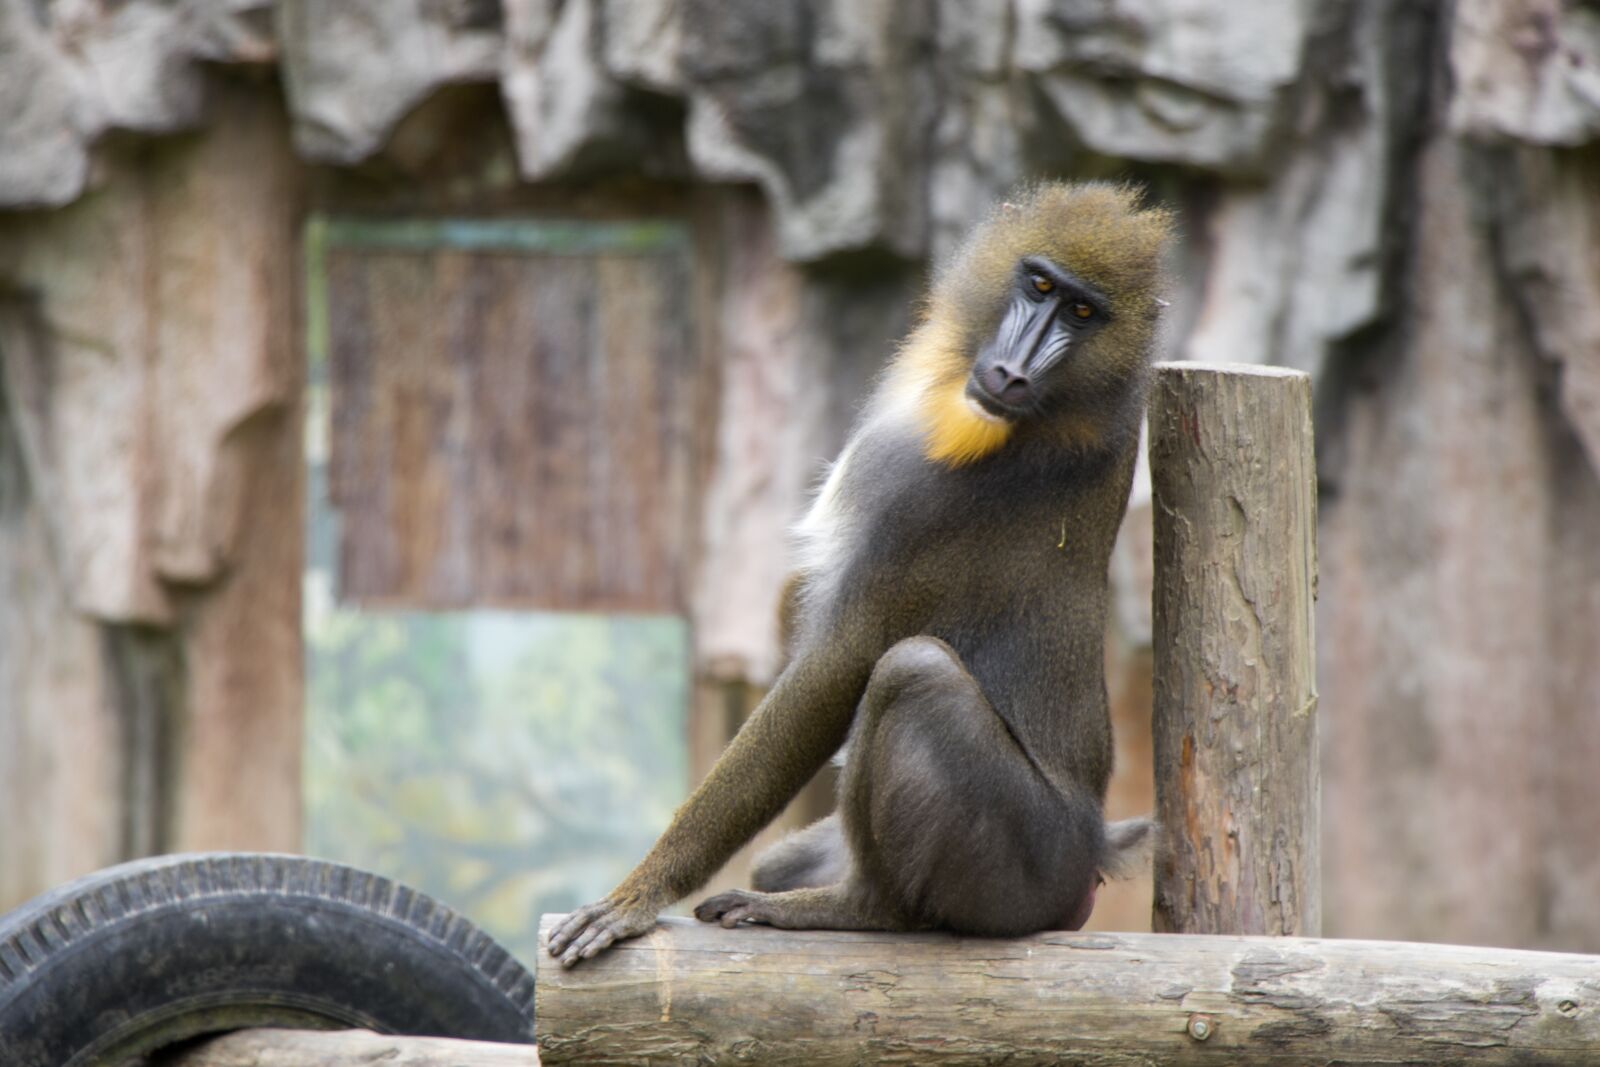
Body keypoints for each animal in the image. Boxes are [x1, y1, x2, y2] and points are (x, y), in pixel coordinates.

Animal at [547, 182, 1171, 967]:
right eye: (1040, 286)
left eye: (1083, 314)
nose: (1014, 371)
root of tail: (1090, 854)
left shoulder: (918, 513)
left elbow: (838, 667)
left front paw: (637, 894)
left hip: (1019, 864)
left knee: (913, 672)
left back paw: (853, 908)